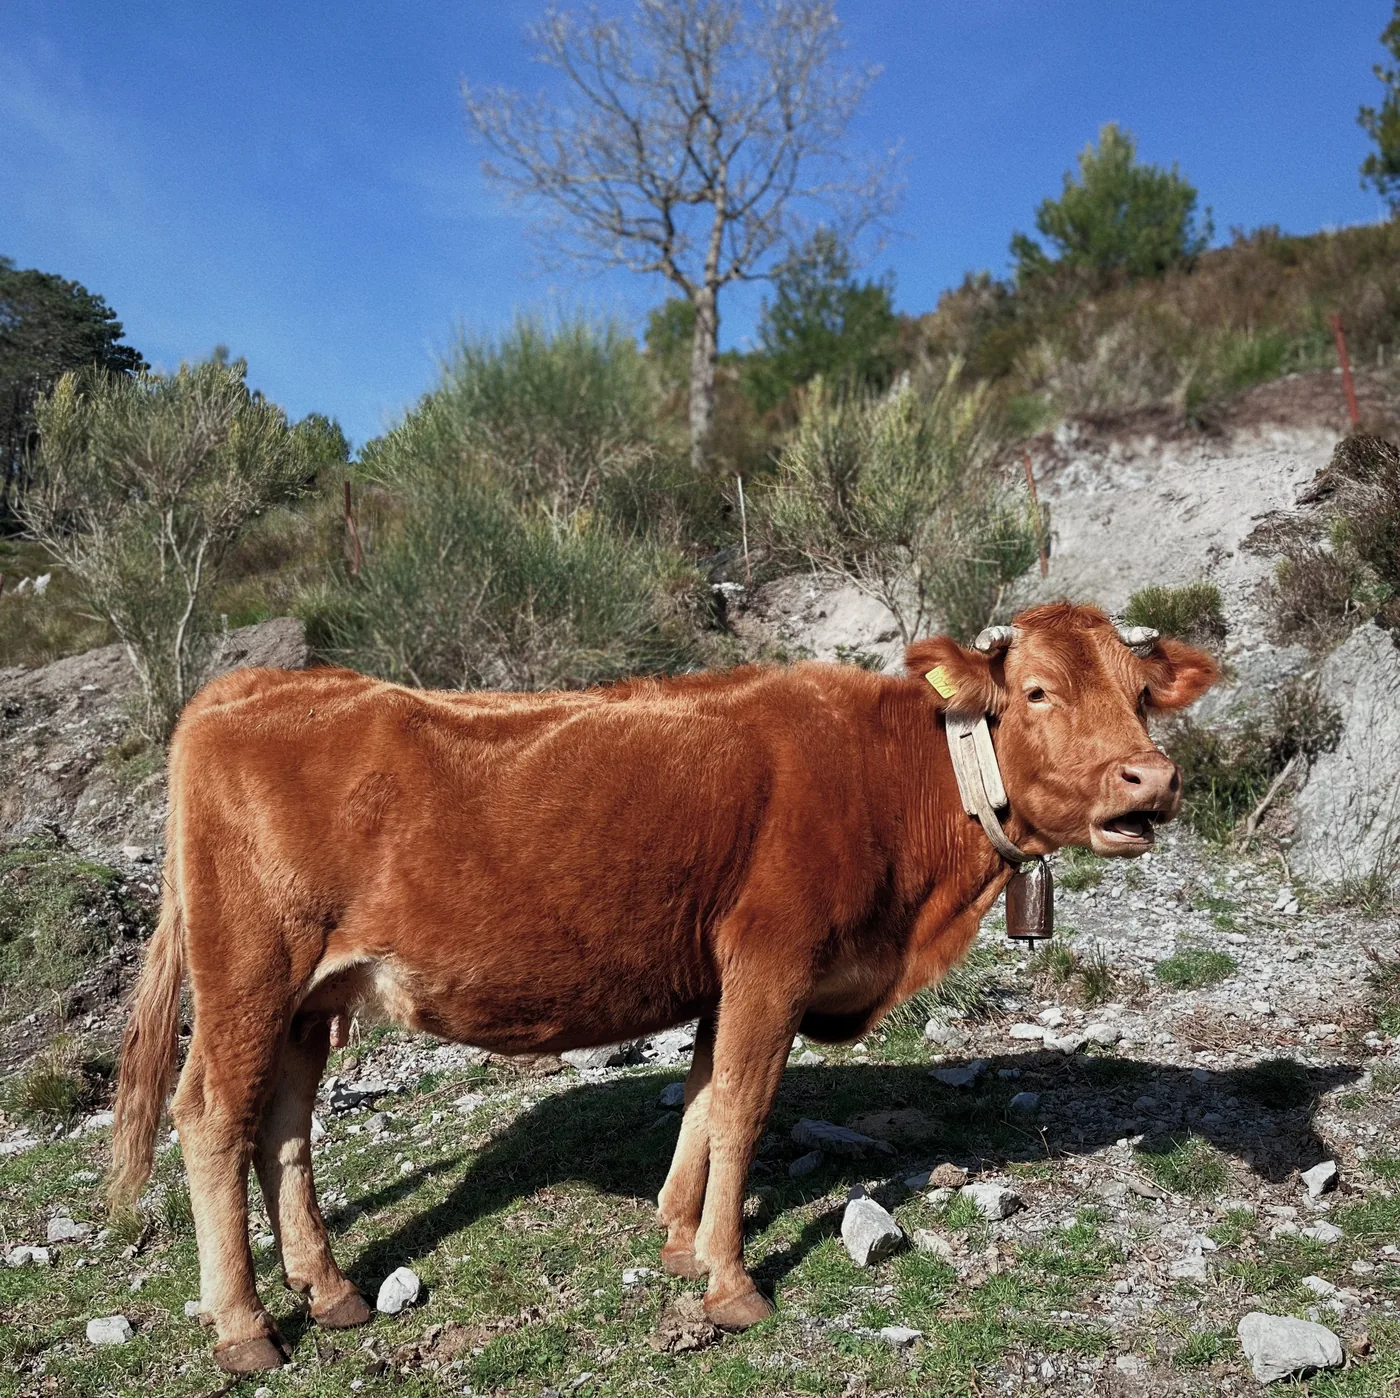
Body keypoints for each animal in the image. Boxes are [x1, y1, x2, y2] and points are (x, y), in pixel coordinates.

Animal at [108, 601, 1216, 1373]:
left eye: (1140, 694)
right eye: (1036, 692)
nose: (1150, 781)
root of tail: (241, 690)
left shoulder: (724, 974)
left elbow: (701, 1098)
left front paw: (680, 1236)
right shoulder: (772, 956)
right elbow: (745, 1107)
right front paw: (729, 1282)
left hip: (310, 996)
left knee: (284, 1127)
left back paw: (329, 1289)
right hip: (250, 967)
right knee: (212, 1115)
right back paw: (246, 1328)